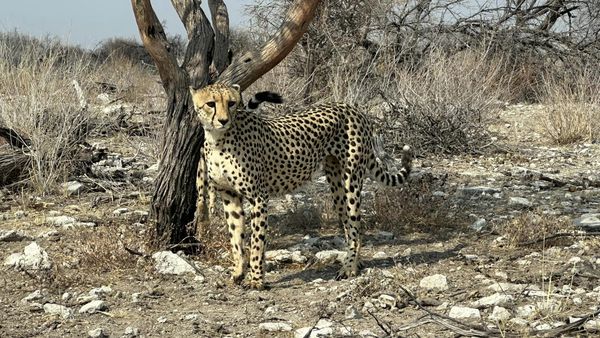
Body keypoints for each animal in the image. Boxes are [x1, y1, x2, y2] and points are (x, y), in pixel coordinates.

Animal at [190, 83, 410, 290]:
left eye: (231, 103)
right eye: (211, 104)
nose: (223, 120)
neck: (218, 139)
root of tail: (351, 107)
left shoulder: (259, 197)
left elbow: (257, 242)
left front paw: (256, 280)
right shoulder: (229, 195)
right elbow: (235, 238)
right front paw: (237, 273)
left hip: (351, 180)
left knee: (356, 224)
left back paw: (348, 268)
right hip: (336, 185)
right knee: (349, 224)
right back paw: (355, 263)